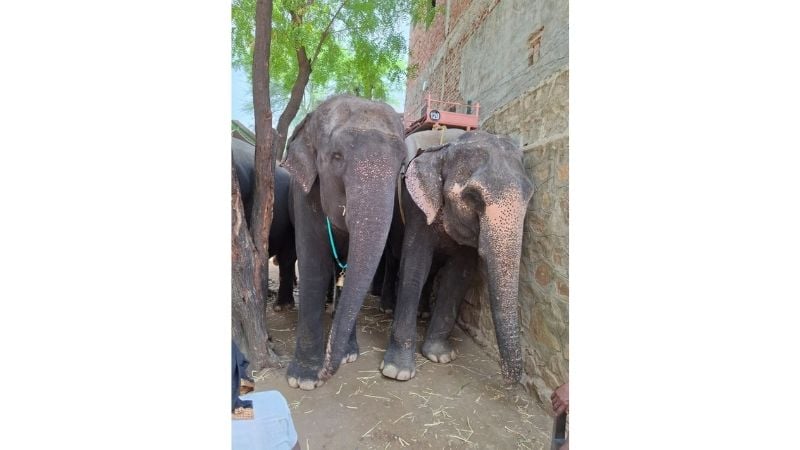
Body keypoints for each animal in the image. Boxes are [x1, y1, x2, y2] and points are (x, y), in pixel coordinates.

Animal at [281, 95, 406, 390]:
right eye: (336, 156)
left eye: (402, 165)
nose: (326, 371)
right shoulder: (304, 196)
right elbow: (313, 265)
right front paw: (304, 379)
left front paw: (349, 355)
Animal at [380, 129, 534, 385]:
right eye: (474, 197)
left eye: (529, 197)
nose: (510, 379)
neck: (447, 148)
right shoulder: (417, 207)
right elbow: (415, 266)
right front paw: (397, 371)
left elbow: (459, 273)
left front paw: (440, 356)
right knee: (392, 257)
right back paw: (386, 308)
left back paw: (423, 312)